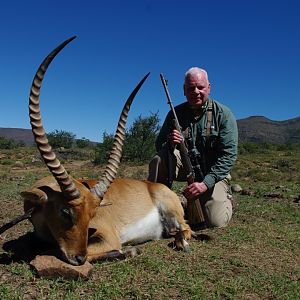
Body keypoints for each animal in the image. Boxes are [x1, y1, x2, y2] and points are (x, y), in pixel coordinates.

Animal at [6, 37, 192, 264]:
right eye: (65, 211)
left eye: (92, 215)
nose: (78, 257)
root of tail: (153, 185)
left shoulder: (107, 237)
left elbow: (54, 251)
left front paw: (129, 250)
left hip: (174, 214)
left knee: (186, 228)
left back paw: (181, 244)